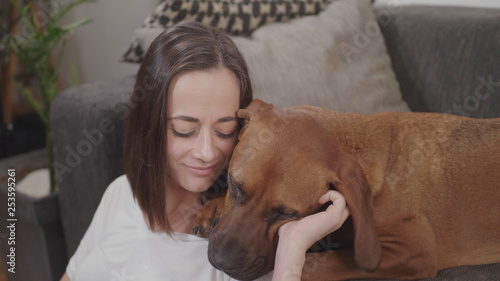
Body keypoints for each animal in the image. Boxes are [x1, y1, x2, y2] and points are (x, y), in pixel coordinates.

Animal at [192, 99, 500, 280]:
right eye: (234, 185)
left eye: (287, 214)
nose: (222, 262)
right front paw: (213, 207)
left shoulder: (415, 251)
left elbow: (318, 263)